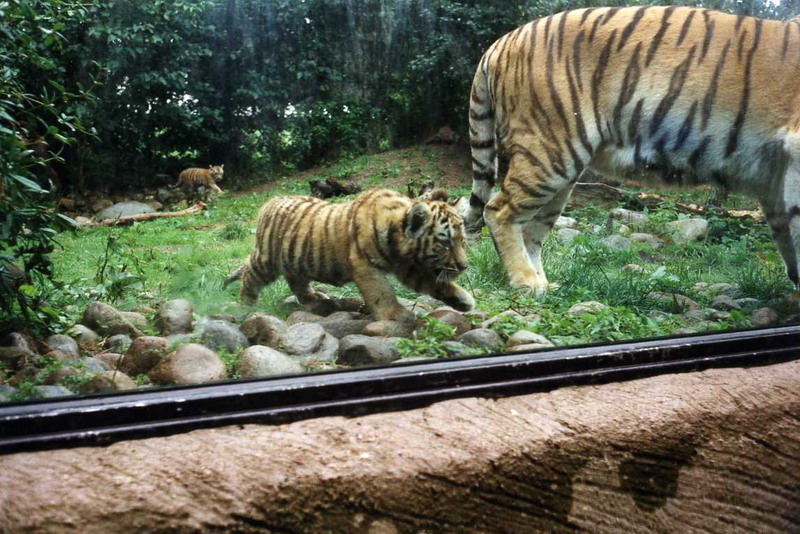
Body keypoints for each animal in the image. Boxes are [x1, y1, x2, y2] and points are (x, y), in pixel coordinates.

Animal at [224, 188, 474, 321]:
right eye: (445, 243)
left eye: (462, 241)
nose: (464, 267)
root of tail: (271, 200)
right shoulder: (365, 266)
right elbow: (382, 293)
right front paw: (395, 314)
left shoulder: (408, 267)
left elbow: (432, 282)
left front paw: (463, 300)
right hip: (266, 260)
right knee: (249, 276)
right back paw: (246, 305)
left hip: (297, 261)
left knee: (296, 282)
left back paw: (313, 298)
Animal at [462, 6, 800, 294]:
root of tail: (501, 41)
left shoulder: (776, 184)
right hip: (549, 151)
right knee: (499, 211)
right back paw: (527, 283)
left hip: (560, 174)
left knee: (531, 229)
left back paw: (544, 284)